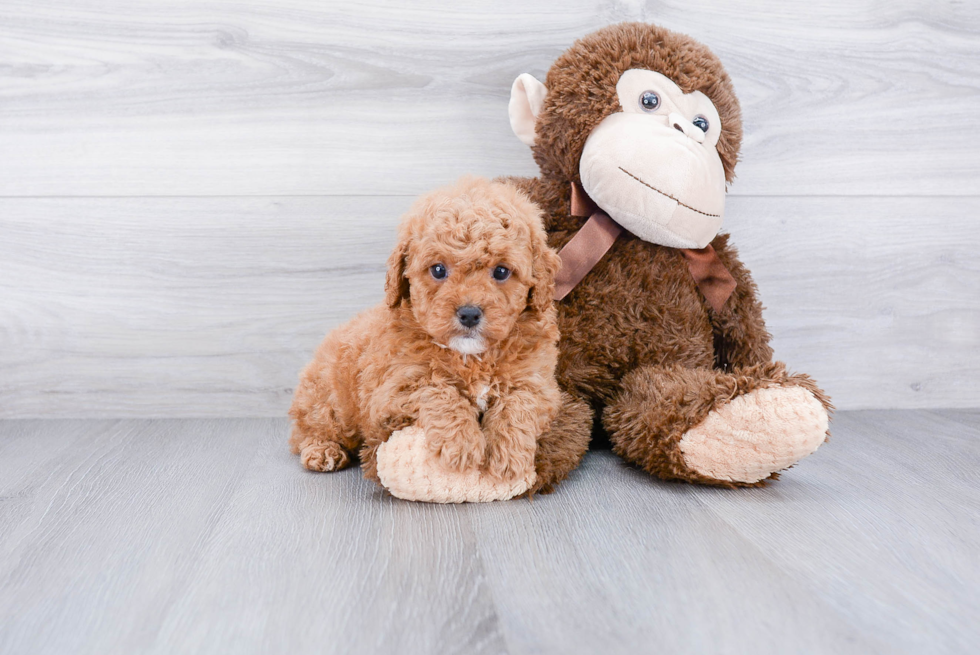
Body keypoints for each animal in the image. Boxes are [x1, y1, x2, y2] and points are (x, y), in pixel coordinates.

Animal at [288, 178, 568, 486]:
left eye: (502, 272)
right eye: (438, 270)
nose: (469, 314)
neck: (472, 357)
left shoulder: (539, 385)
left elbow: (519, 403)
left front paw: (509, 454)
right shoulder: (392, 392)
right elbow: (437, 390)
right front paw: (462, 443)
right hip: (328, 399)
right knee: (307, 431)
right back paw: (322, 450)